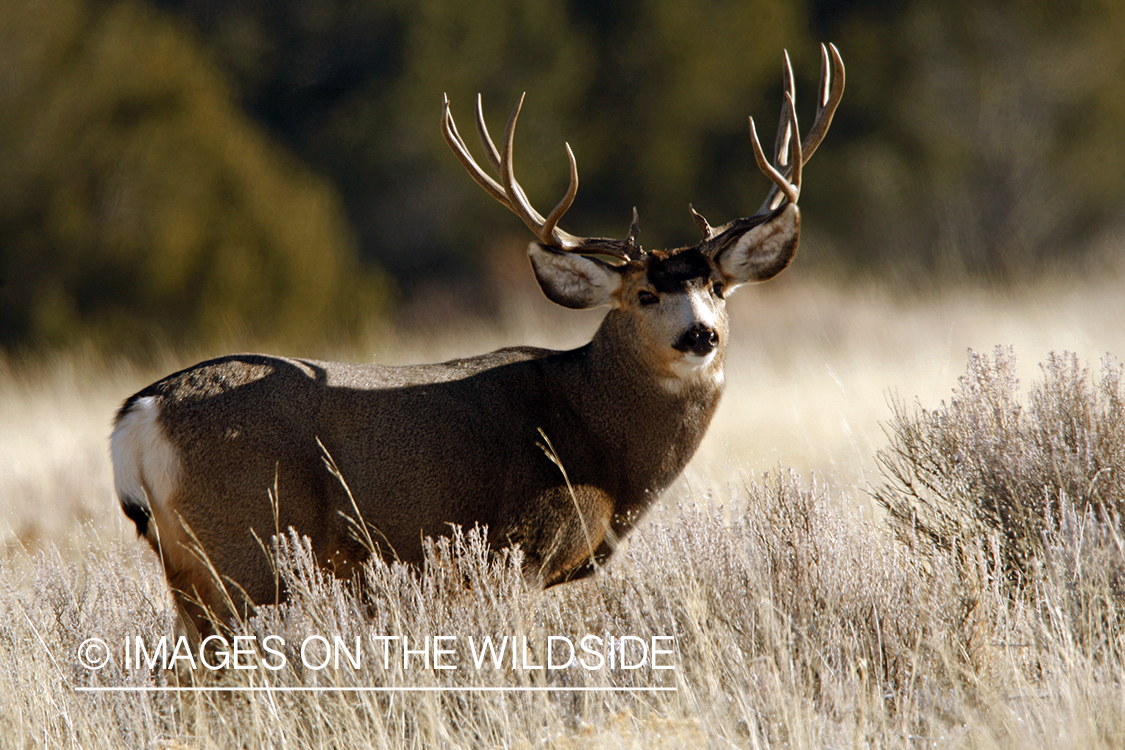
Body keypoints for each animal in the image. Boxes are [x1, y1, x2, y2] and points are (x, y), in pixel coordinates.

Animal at [111, 46, 843, 635]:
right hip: (245, 549)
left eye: (716, 286)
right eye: (643, 295)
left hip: (193, 565)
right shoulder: (520, 550)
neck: (597, 434)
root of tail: (139, 412)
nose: (700, 333)